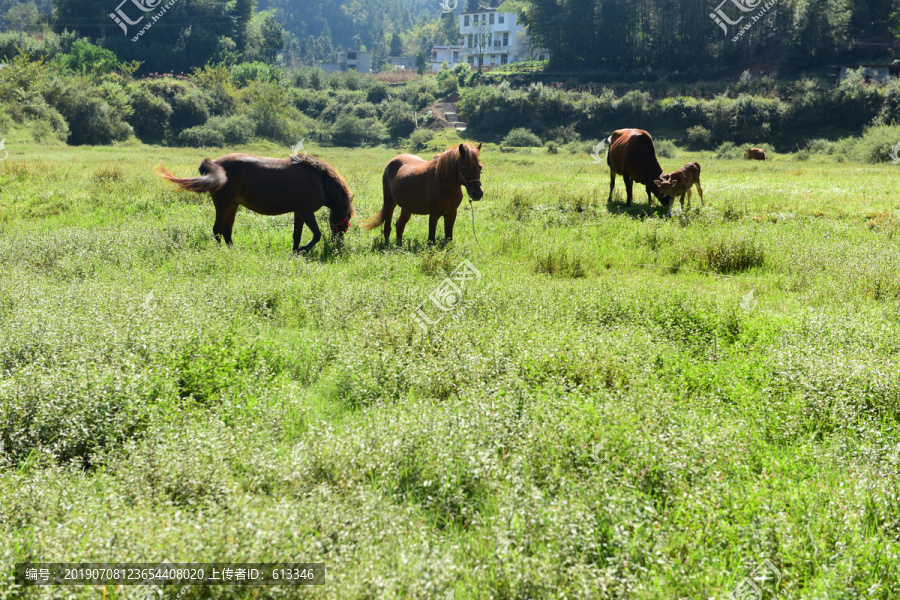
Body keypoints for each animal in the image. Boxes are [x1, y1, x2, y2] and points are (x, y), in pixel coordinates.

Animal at [156, 153, 354, 253]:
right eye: (346, 222)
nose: (338, 246)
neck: (320, 182)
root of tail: (213, 164)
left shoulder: (298, 212)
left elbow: (296, 235)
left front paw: (295, 252)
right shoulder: (306, 212)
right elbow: (317, 235)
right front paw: (303, 250)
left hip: (232, 205)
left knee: (226, 231)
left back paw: (234, 251)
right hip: (223, 204)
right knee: (217, 230)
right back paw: (222, 253)